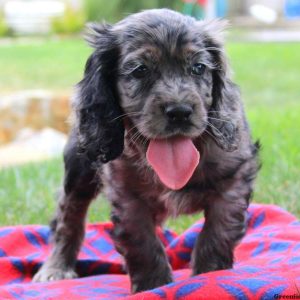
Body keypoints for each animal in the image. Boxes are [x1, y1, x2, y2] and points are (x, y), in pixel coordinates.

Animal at [32, 8, 258, 292]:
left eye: (198, 68)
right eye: (140, 70)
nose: (180, 111)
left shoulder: (233, 182)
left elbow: (217, 231)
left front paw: (211, 275)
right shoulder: (128, 195)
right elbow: (143, 242)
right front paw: (154, 285)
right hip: (78, 171)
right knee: (68, 217)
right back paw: (56, 267)